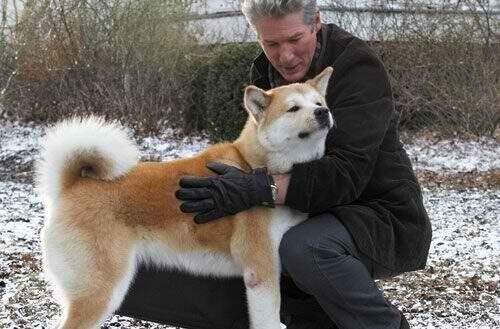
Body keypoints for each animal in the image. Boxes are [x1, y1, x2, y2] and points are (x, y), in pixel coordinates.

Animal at [37, 66, 334, 328]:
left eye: (318, 102)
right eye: (293, 108)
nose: (323, 112)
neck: (256, 166)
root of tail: (72, 185)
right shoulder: (260, 270)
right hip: (100, 292)